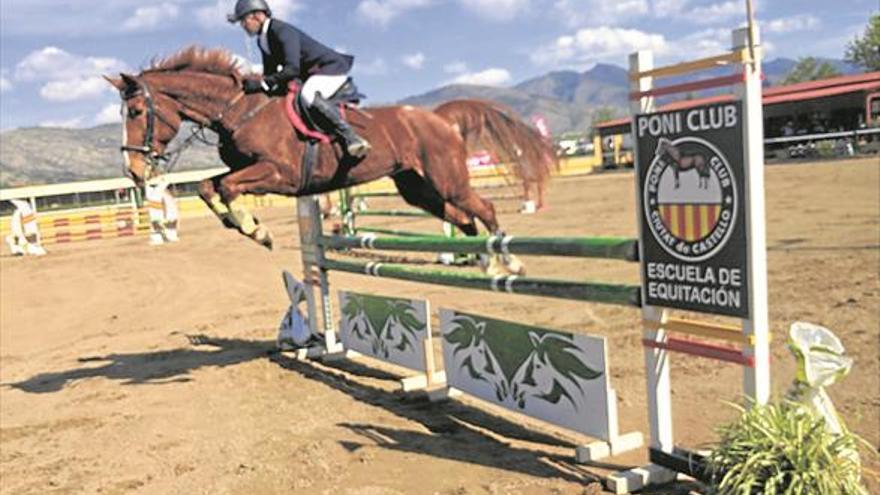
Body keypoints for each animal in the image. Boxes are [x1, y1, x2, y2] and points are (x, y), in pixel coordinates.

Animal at [106, 47, 552, 274]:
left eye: (136, 112)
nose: (134, 171)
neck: (238, 109)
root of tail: (439, 117)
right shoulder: (247, 170)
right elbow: (207, 186)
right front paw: (244, 226)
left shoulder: (278, 175)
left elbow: (226, 187)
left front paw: (256, 230)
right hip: (417, 187)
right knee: (462, 217)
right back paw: (481, 261)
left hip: (447, 179)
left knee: (484, 208)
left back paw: (507, 261)